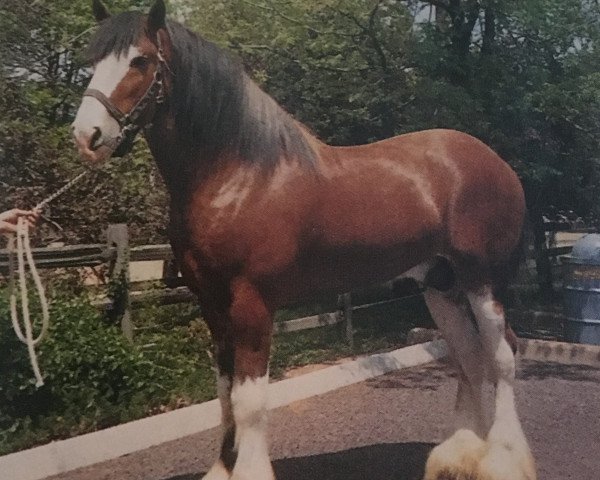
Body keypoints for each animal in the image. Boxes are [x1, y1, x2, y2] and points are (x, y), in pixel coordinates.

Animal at [72, 1, 536, 478]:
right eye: (92, 59)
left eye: (140, 61)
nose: (86, 136)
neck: (239, 177)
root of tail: (497, 163)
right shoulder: (212, 303)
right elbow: (224, 393)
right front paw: (223, 466)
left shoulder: (253, 302)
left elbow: (249, 400)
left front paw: (250, 469)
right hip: (441, 286)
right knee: (469, 357)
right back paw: (461, 455)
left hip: (482, 280)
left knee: (501, 353)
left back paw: (503, 457)